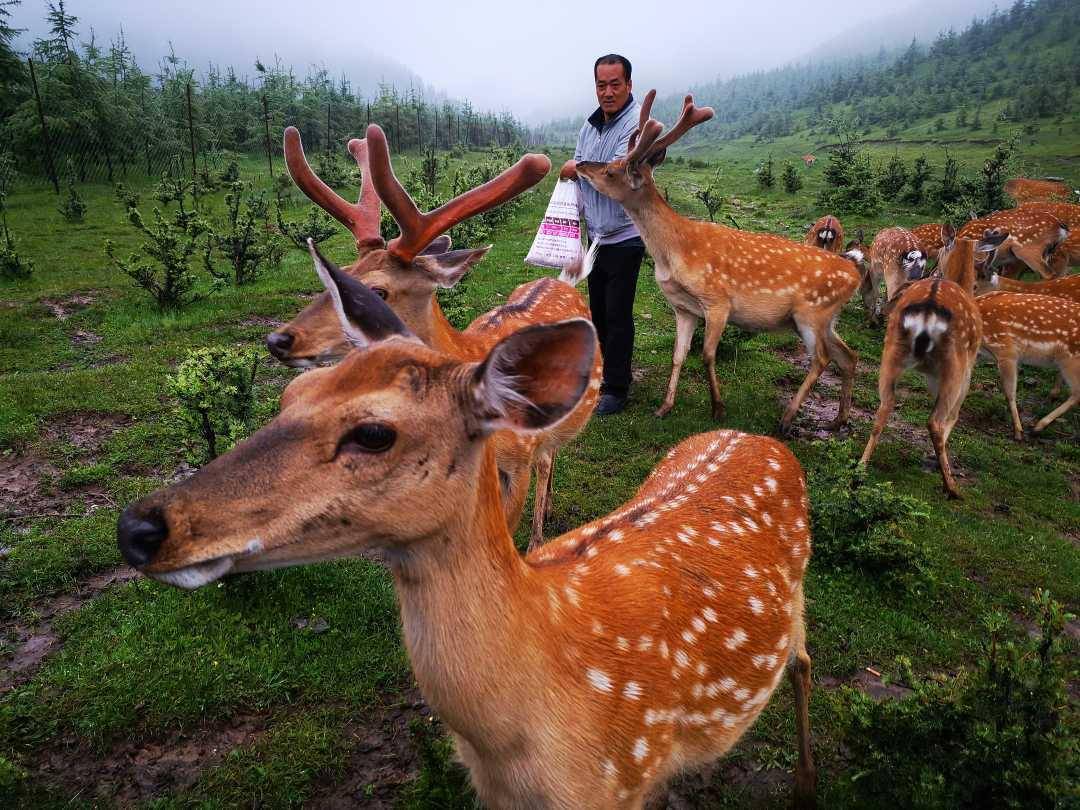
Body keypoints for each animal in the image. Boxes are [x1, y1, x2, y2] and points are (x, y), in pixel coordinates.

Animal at [118, 261, 816, 810]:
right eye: (293, 392)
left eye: (375, 433)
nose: (140, 526)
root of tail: (758, 438)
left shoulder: (625, 777)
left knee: (804, 661)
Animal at [263, 128, 600, 552]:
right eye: (340, 272)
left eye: (379, 291)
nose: (279, 339)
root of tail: (564, 281)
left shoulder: (518, 462)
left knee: (548, 457)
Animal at [574, 89, 859, 434]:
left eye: (611, 171)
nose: (581, 164)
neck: (675, 252)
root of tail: (855, 272)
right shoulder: (683, 308)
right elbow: (678, 355)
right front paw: (664, 407)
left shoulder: (718, 301)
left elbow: (708, 354)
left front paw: (718, 408)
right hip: (827, 318)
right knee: (849, 356)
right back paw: (839, 419)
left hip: (811, 312)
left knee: (822, 359)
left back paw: (787, 418)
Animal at [859, 225, 1002, 498]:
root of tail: (927, 311)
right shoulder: (968, 368)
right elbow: (953, 416)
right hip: (954, 366)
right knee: (935, 421)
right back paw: (952, 487)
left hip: (891, 353)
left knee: (884, 407)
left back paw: (860, 466)